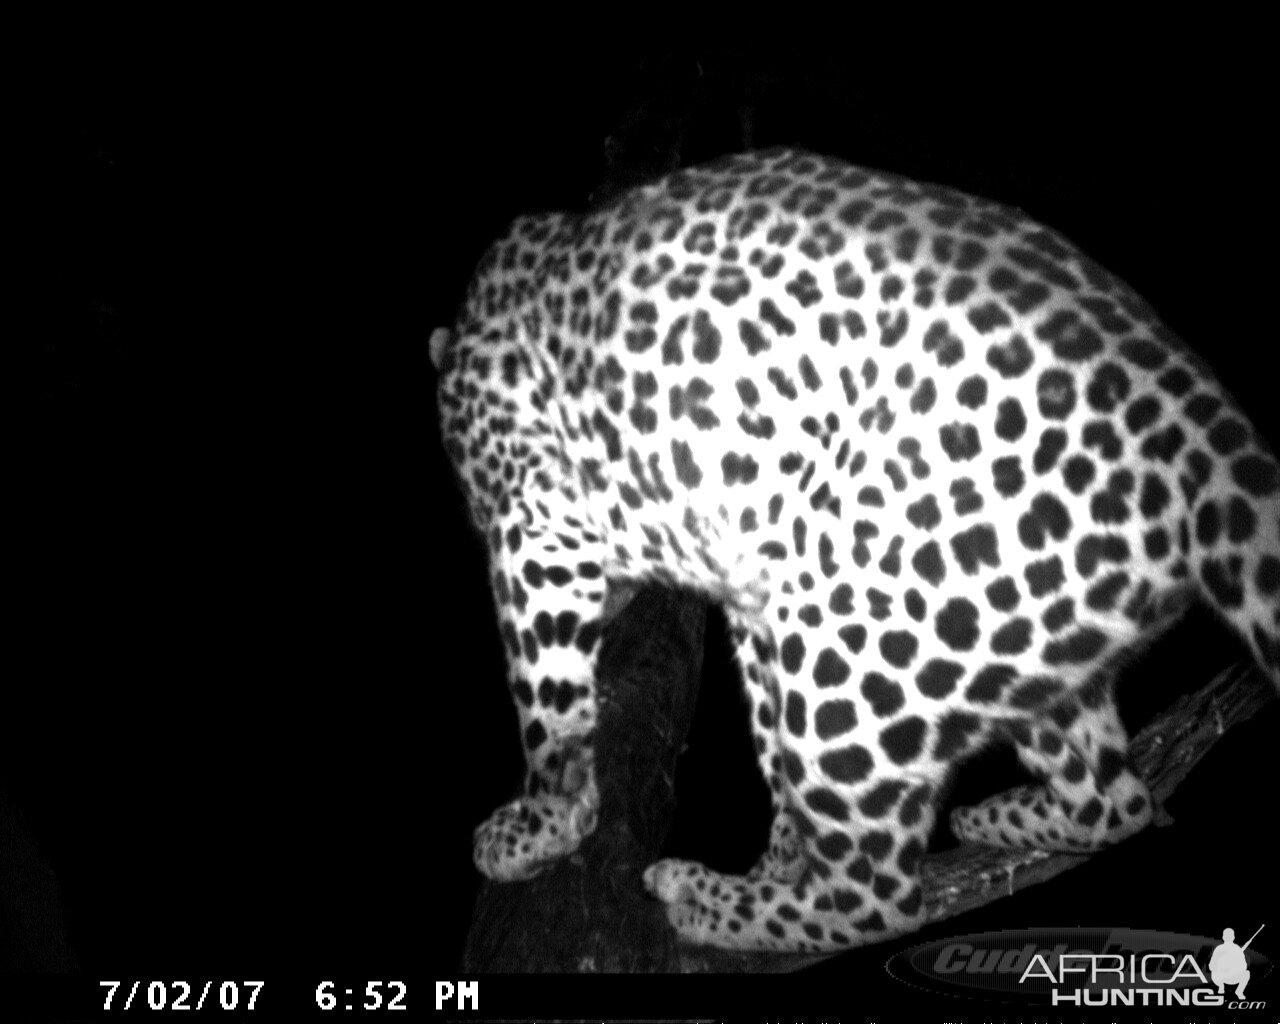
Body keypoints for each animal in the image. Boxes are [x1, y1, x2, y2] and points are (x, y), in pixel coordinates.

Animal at [432, 145, 1280, 952]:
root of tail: (1210, 443)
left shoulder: (536, 527)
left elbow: (548, 711)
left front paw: (538, 827)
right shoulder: (751, 585)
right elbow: (766, 739)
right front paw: (779, 853)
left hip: (850, 634)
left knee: (879, 897)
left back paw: (711, 902)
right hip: (1011, 633)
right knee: (1116, 802)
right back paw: (999, 818)